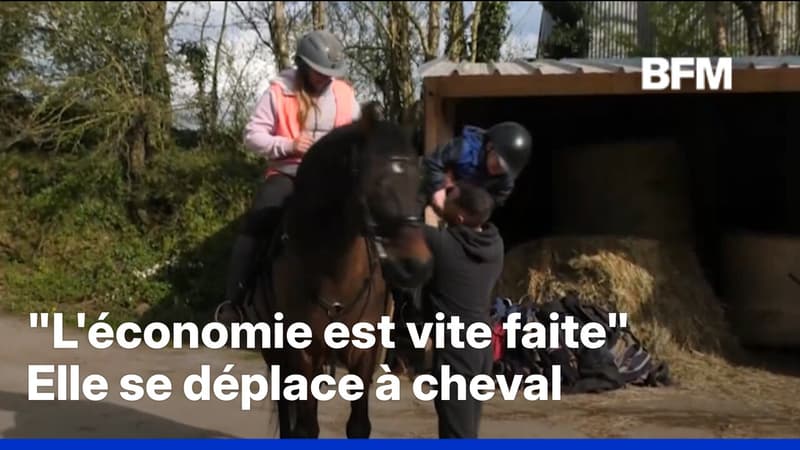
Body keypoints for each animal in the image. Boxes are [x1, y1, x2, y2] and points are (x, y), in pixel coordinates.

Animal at [246, 107, 434, 438]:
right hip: (275, 352)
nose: (417, 265)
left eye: (419, 182)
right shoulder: (302, 353)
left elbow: (358, 424)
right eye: (375, 181)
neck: (334, 273)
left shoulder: (364, 353)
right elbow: (305, 427)